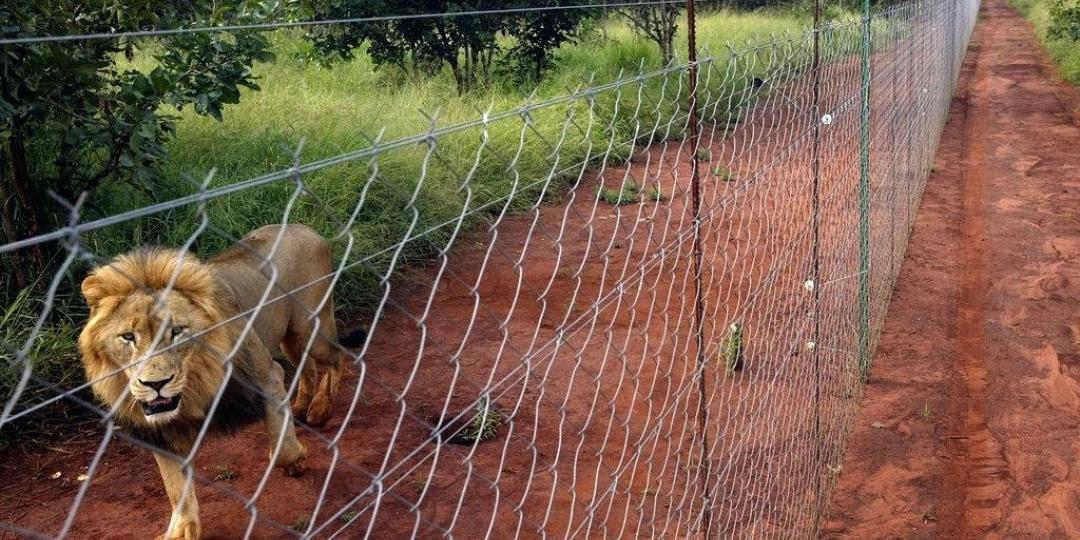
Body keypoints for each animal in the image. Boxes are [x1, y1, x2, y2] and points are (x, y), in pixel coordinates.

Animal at [78, 221, 362, 537]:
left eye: (177, 331)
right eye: (128, 337)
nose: (156, 384)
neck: (196, 383)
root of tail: (304, 227)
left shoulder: (267, 378)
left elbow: (282, 449)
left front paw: (297, 460)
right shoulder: (162, 430)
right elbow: (175, 487)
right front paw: (181, 530)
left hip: (311, 327)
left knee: (336, 359)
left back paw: (321, 409)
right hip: (291, 338)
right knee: (308, 367)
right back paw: (301, 407)